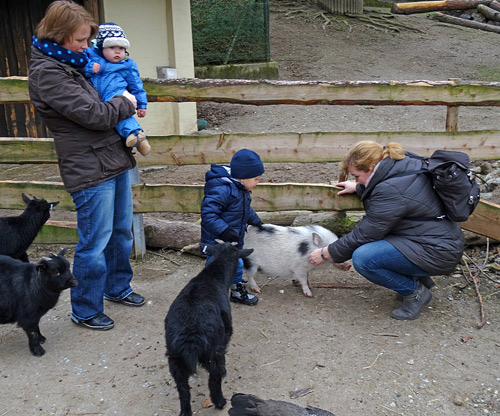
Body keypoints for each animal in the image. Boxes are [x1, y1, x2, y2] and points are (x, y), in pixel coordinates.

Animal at [166, 240, 254, 416]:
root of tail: (190, 335)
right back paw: (220, 402)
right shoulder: (225, 336)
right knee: (214, 378)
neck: (214, 276)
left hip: (175, 359)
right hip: (213, 352)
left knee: (183, 389)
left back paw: (185, 412)